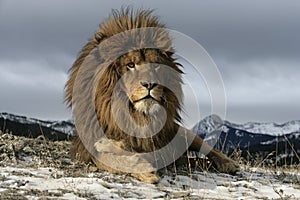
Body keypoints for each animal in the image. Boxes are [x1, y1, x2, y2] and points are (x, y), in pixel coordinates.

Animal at [65, 7, 239, 184]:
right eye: (130, 65)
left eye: (156, 65)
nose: (150, 84)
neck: (136, 115)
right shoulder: (88, 146)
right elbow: (111, 157)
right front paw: (142, 167)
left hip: (179, 131)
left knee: (206, 147)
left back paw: (229, 164)